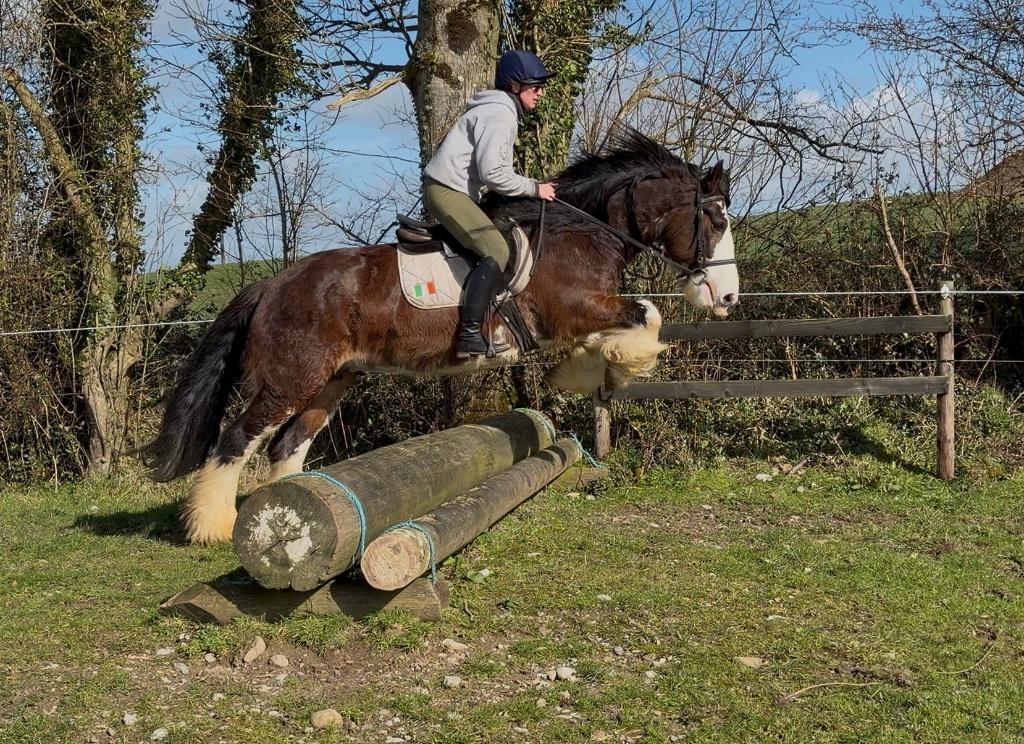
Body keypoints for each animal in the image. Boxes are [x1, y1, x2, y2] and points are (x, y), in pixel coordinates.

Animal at [142, 126, 740, 544]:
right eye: (716, 221)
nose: (728, 298)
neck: (582, 231)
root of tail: (272, 283)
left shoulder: (583, 315)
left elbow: (626, 327)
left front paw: (589, 367)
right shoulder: (572, 308)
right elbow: (646, 315)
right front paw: (612, 363)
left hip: (333, 380)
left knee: (287, 444)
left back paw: (286, 509)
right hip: (292, 377)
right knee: (237, 439)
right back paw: (212, 527)